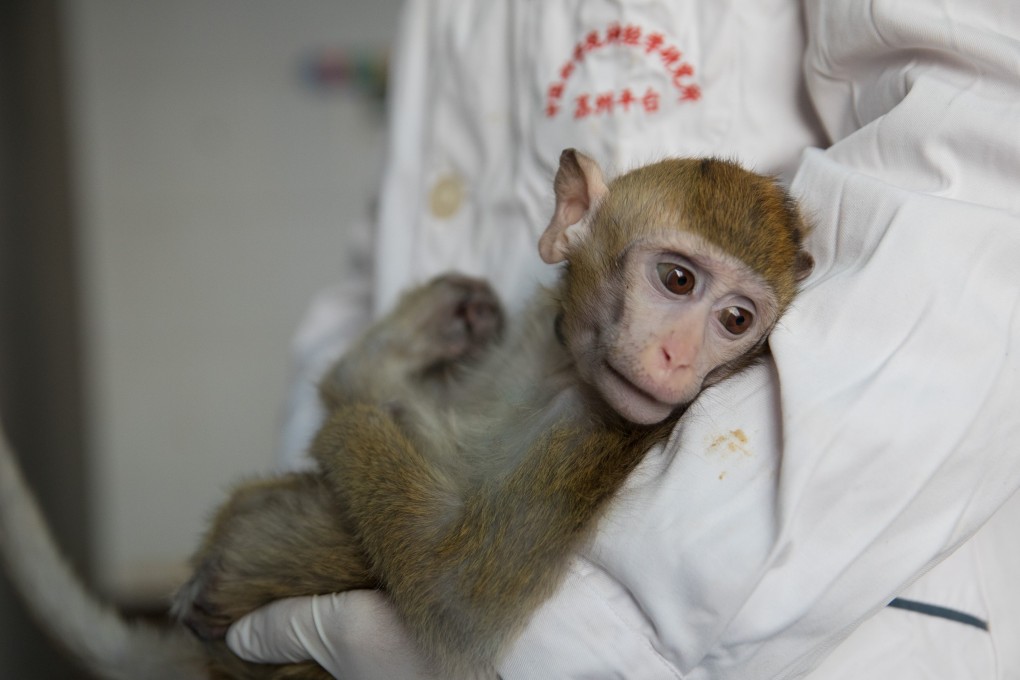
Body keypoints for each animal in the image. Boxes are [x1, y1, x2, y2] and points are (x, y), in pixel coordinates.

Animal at [0, 149, 813, 680]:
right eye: (677, 280)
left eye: (736, 320)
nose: (678, 359)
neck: (562, 373)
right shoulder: (531, 340)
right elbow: (370, 388)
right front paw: (432, 327)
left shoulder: (593, 437)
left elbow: (455, 598)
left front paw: (345, 429)